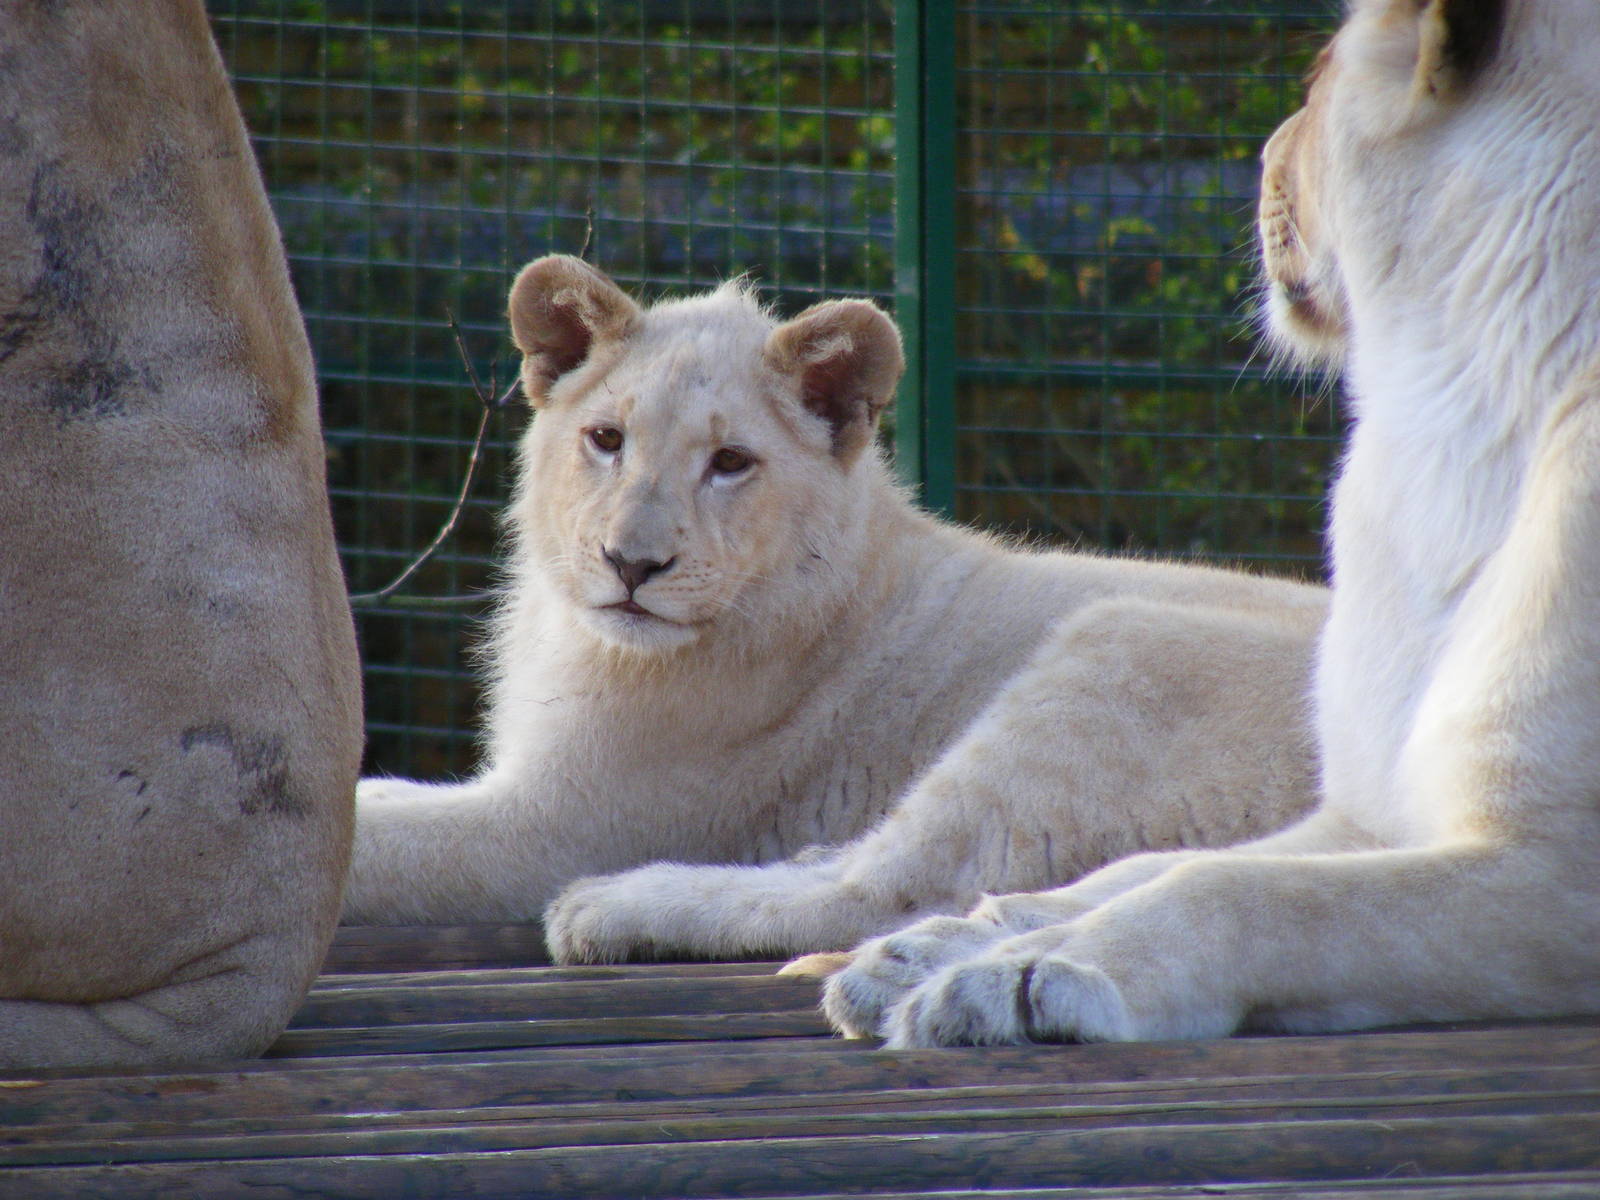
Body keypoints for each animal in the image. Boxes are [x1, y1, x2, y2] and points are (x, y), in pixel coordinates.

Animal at [345, 253, 1326, 961]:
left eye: (730, 462)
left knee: (890, 895)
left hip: (1115, 650)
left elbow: (371, 844)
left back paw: (618, 906)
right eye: (606, 439)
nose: (631, 563)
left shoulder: (554, 824)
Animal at [820, 0, 1600, 1047]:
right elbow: (1148, 865)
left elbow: (1240, 890)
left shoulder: (1551, 866)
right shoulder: (1365, 814)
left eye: (1314, 77)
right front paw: (928, 949)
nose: (1261, 156)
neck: (1453, 411)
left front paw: (1019, 977)